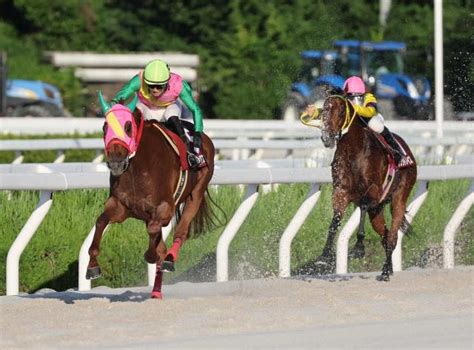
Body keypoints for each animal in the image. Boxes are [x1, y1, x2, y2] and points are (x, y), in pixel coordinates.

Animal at [86, 93, 216, 298]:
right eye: (105, 127)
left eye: (128, 127)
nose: (115, 161)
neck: (138, 167)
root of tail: (202, 135)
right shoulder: (119, 206)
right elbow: (100, 222)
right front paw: (92, 267)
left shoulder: (164, 209)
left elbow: (154, 233)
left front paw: (151, 255)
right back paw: (155, 292)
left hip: (196, 193)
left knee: (181, 232)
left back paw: (169, 260)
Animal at [316, 95, 416, 282]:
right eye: (324, 109)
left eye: (341, 110)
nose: (326, 137)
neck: (354, 151)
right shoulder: (341, 191)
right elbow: (335, 220)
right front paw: (324, 255)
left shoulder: (374, 191)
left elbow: (362, 205)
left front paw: (358, 247)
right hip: (376, 211)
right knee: (385, 235)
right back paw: (388, 268)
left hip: (400, 196)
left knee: (392, 236)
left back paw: (385, 272)